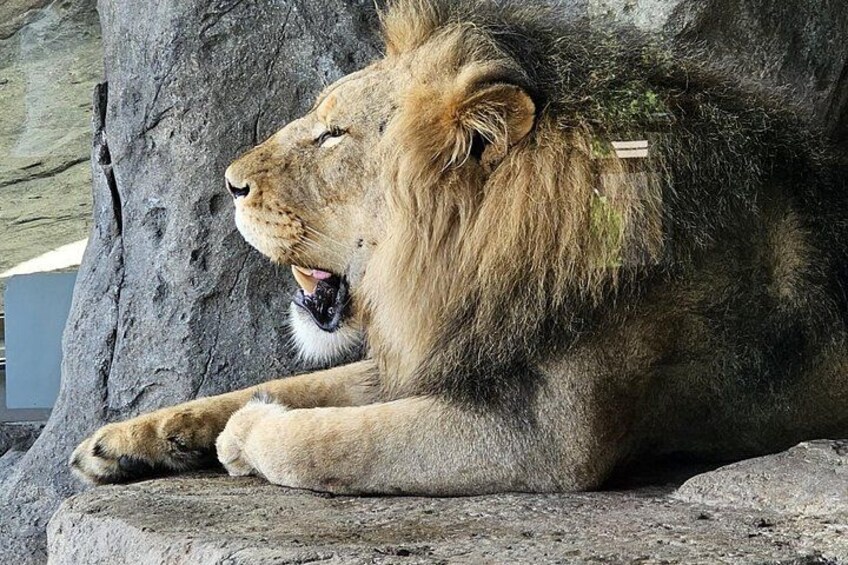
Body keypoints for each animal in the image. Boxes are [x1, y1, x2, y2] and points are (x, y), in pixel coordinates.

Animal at [71, 0, 848, 494]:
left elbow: (331, 438)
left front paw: (248, 432)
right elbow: (291, 386)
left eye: (333, 135)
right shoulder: (444, 348)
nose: (229, 182)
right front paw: (131, 437)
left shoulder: (543, 439)